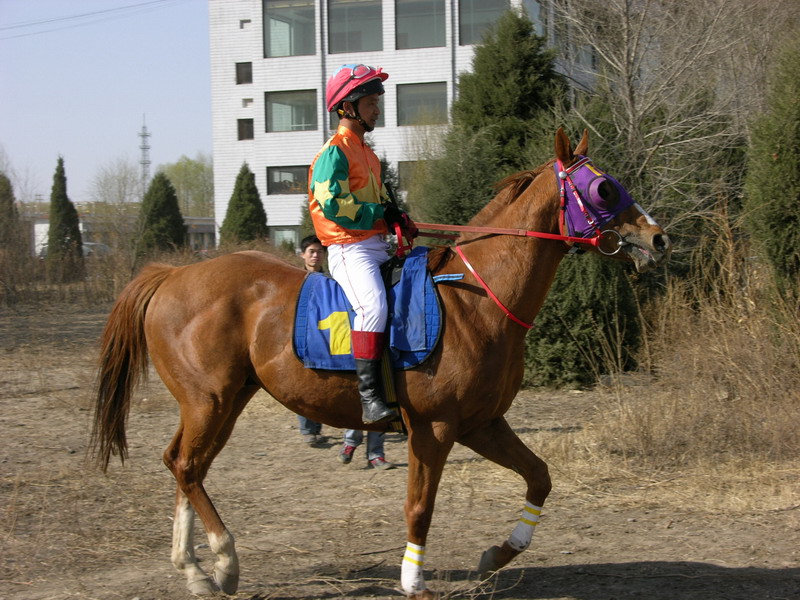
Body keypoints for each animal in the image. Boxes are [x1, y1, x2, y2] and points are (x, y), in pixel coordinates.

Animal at [92, 129, 668, 596]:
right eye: (605, 188)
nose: (658, 237)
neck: (475, 297)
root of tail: (172, 275)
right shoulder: (434, 428)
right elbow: (420, 507)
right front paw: (414, 580)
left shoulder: (482, 423)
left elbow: (540, 477)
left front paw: (497, 554)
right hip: (208, 401)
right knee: (187, 466)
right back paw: (224, 561)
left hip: (226, 402)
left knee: (184, 464)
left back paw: (195, 569)